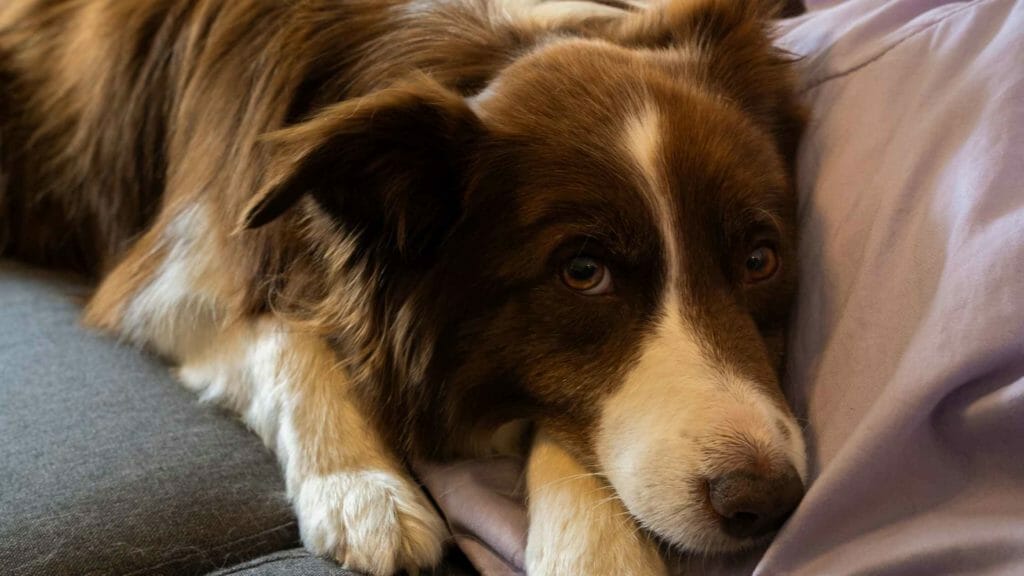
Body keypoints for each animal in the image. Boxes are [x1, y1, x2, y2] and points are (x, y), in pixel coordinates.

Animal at [0, 0, 806, 569]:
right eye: (583, 272)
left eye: (760, 259)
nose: (768, 501)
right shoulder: (172, 280)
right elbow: (286, 337)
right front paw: (362, 492)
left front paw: (596, 546)